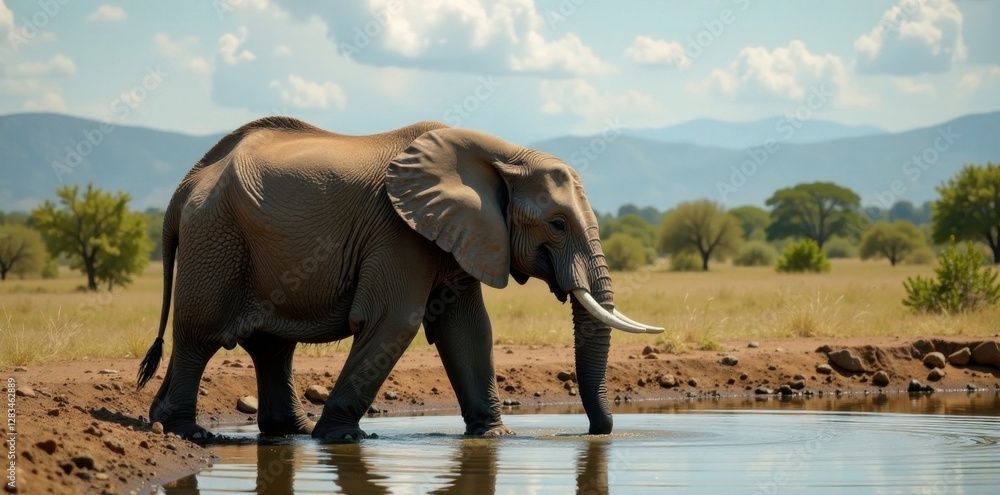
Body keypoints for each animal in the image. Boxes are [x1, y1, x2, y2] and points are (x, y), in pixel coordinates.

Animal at [136, 116, 662, 442]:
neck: (501, 153)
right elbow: (395, 322)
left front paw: (495, 436)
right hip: (217, 241)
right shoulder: (398, 230)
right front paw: (343, 438)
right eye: (557, 224)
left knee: (271, 347)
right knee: (200, 334)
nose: (594, 433)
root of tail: (185, 187)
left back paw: (286, 431)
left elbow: (467, 329)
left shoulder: (458, 235)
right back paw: (190, 431)